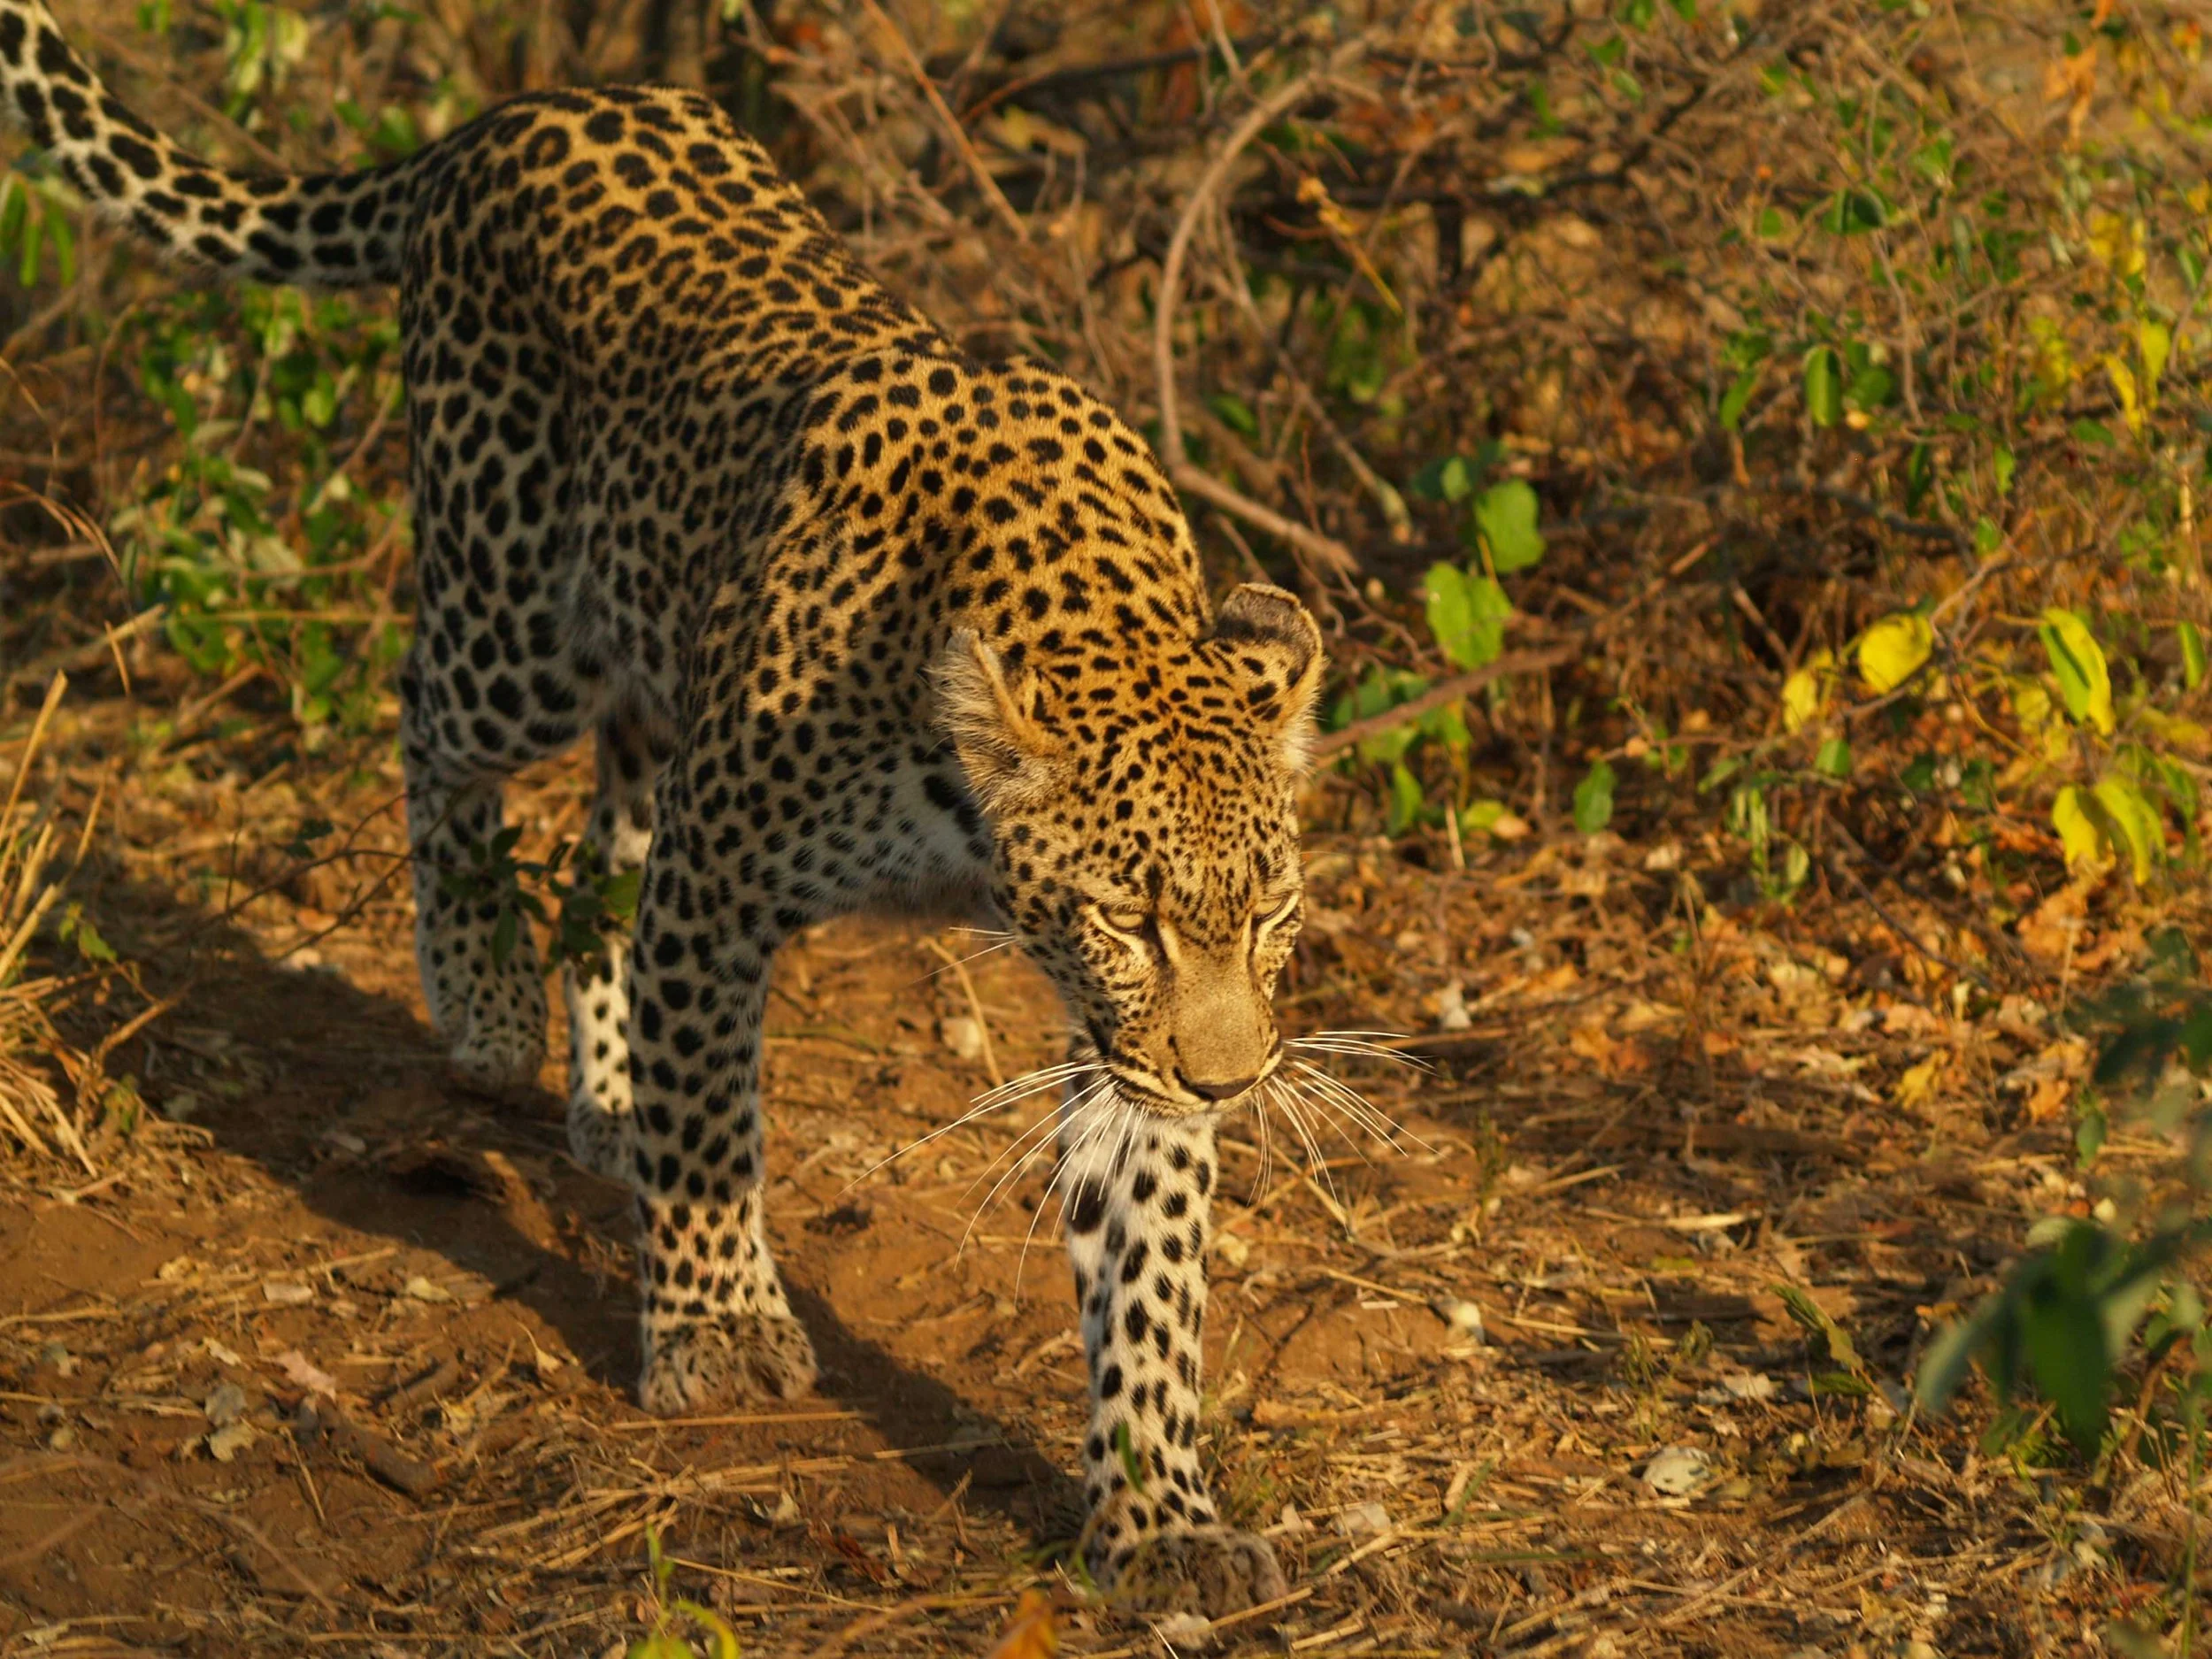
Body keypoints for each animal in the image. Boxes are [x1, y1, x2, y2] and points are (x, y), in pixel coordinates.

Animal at [2, 0, 1329, 1615]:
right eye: (1130, 920)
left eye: (1269, 915)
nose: (1234, 1082)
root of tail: (505, 119)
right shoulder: (727, 881)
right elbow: (714, 1123)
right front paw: (715, 1328)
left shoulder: (1115, 1041)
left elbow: (1146, 1260)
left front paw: (1159, 1514)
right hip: (518, 619)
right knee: (427, 716)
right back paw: (488, 1002)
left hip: (650, 676)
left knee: (599, 853)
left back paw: (605, 1093)